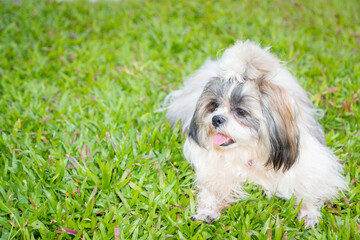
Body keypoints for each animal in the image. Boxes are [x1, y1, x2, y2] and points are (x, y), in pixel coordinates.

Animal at [165, 40, 348, 227]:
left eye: (241, 111)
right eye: (214, 105)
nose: (216, 119)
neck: (252, 152)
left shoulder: (309, 166)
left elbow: (308, 189)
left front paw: (309, 213)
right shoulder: (216, 170)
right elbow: (212, 190)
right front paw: (207, 211)